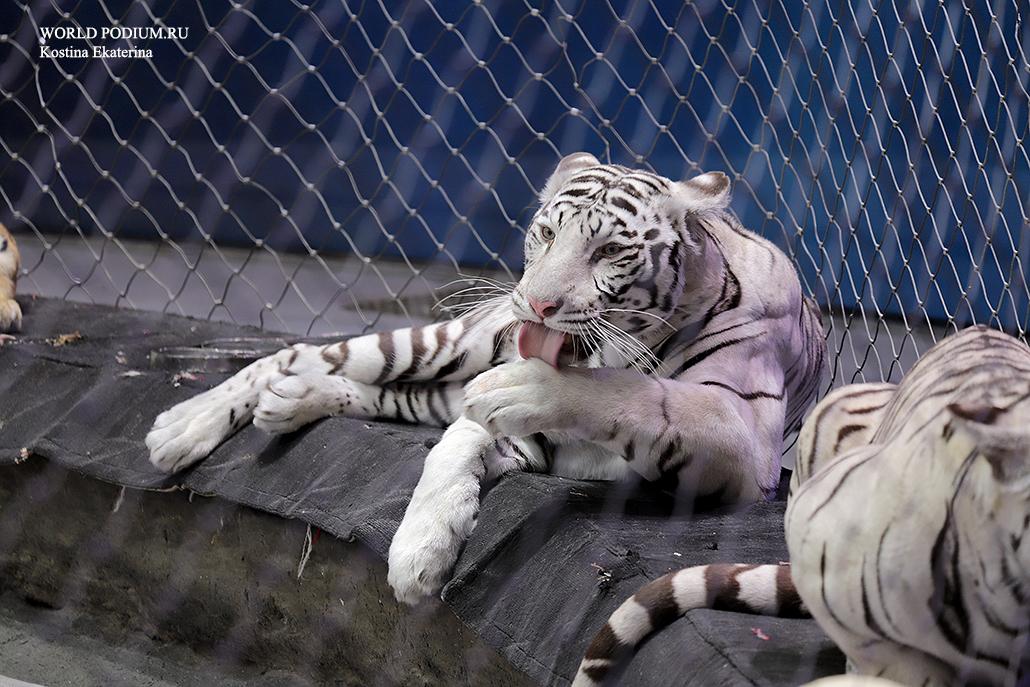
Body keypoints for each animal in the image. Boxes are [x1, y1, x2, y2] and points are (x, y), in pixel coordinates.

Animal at [145, 153, 824, 605]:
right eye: (547, 233)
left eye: (610, 252)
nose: (538, 304)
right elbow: (456, 445)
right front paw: (420, 553)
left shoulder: (742, 436)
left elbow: (639, 396)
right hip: (446, 342)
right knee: (292, 354)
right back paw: (181, 427)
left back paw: (286, 405)